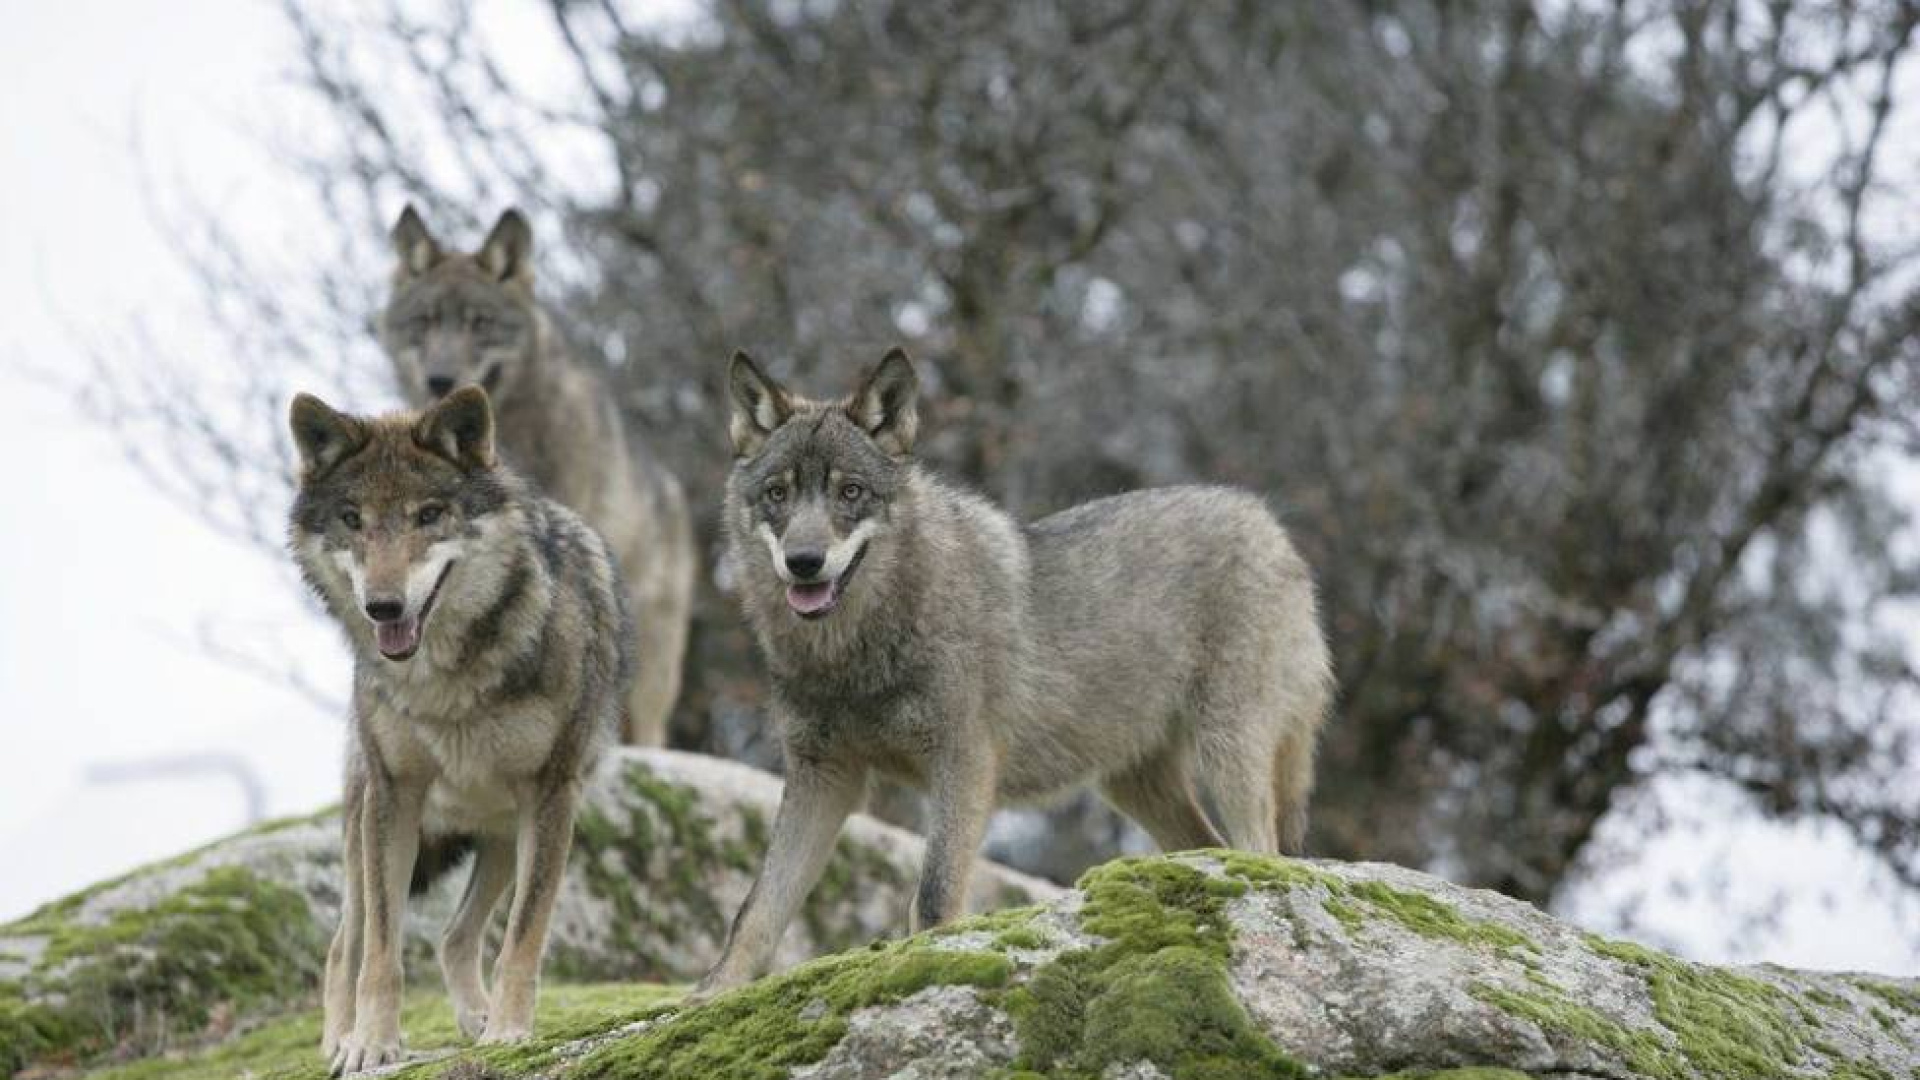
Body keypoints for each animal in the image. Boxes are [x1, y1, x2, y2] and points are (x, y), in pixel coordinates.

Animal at [288, 386, 632, 1074]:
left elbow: (523, 938)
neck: (445, 681)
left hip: (503, 834)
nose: (384, 607)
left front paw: (508, 1032)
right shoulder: (395, 797)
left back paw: (477, 1019)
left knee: (454, 936)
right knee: (345, 945)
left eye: (429, 515)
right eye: (352, 519)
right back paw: (338, 1039)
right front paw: (371, 1045)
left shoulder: (552, 795)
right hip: (366, 828)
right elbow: (382, 952)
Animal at [700, 348, 1334, 990]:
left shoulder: (963, 761)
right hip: (1135, 784)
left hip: (1227, 752)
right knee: (1212, 847)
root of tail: (1269, 523)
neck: (853, 653)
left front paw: (927, 964)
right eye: (778, 493)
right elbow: (755, 911)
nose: (804, 562)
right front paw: (710, 994)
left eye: (850, 491)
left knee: (1263, 851)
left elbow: (933, 896)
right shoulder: (822, 776)